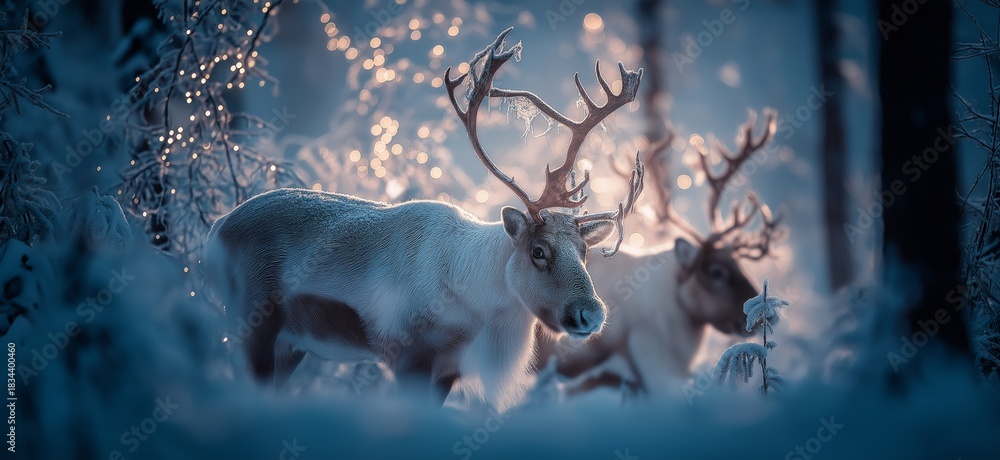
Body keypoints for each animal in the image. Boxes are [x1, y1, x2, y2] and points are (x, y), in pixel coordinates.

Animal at [204, 28, 645, 411]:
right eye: (538, 250)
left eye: (585, 251)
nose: (590, 313)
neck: (479, 303)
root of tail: (216, 229)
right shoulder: (408, 357)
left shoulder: (449, 369)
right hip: (250, 330)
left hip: (289, 346)